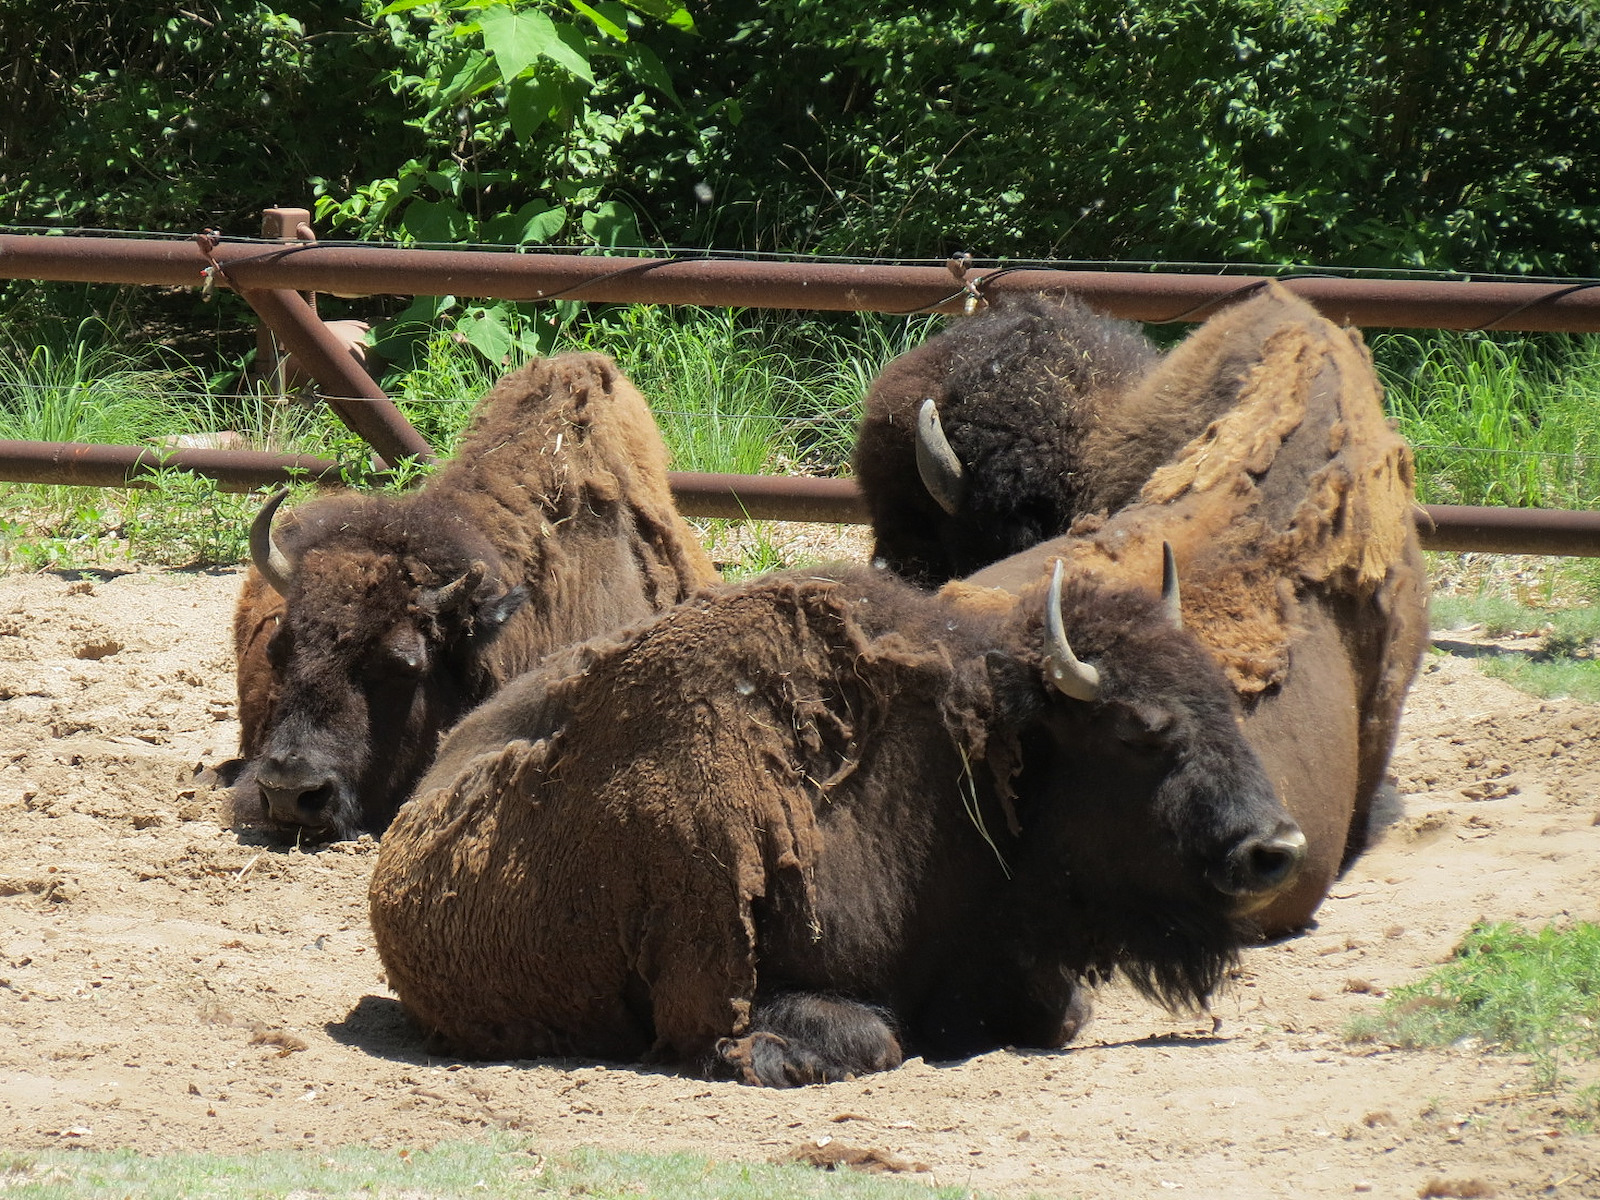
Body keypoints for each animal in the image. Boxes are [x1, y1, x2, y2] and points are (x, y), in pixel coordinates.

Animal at [369, 556, 1307, 1085]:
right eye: (1137, 730)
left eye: (1225, 701)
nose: (1276, 849)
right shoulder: (724, 990)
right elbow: (875, 1038)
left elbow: (1061, 1014)